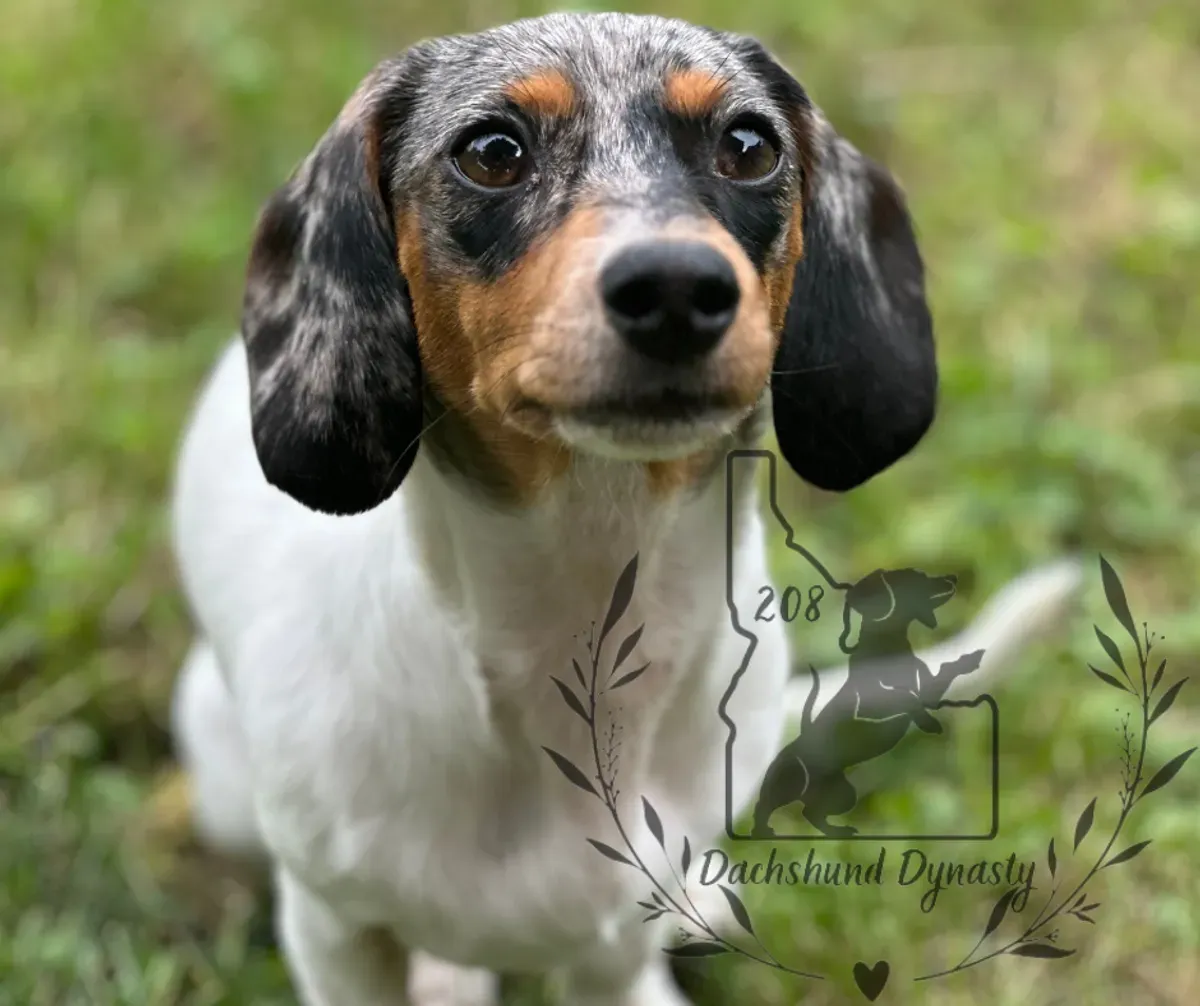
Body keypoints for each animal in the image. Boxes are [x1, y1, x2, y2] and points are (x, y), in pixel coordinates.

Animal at [752, 569, 985, 838]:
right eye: (915, 578)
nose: (953, 579)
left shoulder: (929, 692)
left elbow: (941, 675)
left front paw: (967, 661)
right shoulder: (869, 707)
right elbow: (905, 697)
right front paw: (926, 722)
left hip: (843, 794)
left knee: (811, 812)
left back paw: (837, 832)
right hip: (791, 780)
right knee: (765, 805)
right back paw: (762, 830)